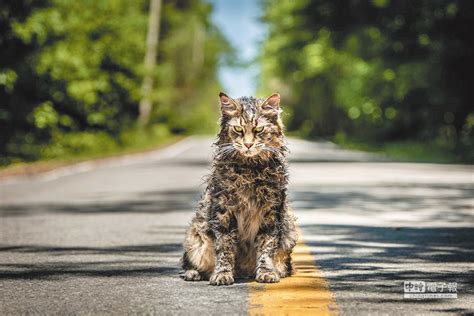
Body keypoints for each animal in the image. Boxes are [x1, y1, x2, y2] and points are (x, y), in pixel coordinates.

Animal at [181, 92, 296, 286]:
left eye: (259, 130)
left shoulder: (271, 212)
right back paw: (193, 273)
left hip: (289, 232)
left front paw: (266, 272)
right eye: (238, 129)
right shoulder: (223, 212)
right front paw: (222, 274)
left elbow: (266, 247)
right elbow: (225, 248)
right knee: (190, 262)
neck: (249, 170)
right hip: (195, 236)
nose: (248, 145)